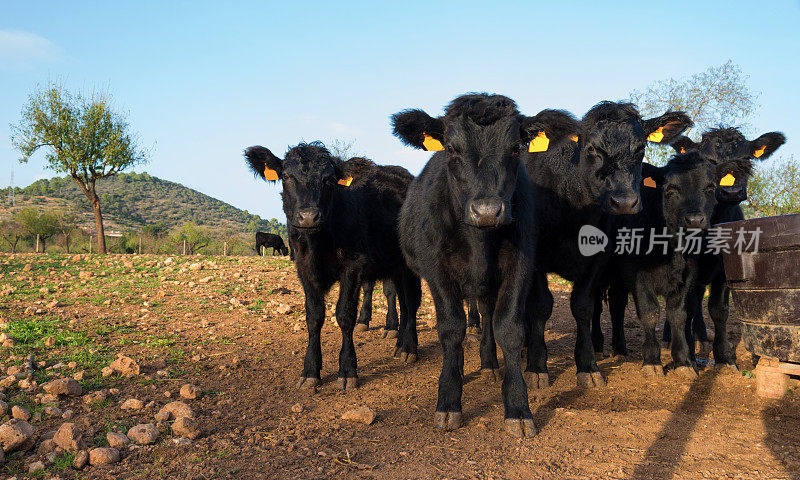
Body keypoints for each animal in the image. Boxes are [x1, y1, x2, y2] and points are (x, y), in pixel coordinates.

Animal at [244, 142, 422, 390]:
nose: (309, 216)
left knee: (412, 302)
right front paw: (310, 370)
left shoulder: (353, 267)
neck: (317, 244)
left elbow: (345, 315)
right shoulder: (304, 270)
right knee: (403, 301)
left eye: (329, 179)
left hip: (409, 261)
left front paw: (347, 370)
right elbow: (314, 316)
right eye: (286, 176)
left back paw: (409, 348)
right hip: (394, 265)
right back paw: (399, 344)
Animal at [390, 92, 572, 436]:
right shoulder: (437, 270)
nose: (487, 210)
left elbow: (509, 329)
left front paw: (518, 407)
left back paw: (488, 363)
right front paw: (448, 401)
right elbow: (451, 329)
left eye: (515, 147)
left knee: (487, 315)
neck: (479, 242)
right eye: (451, 148)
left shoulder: (520, 266)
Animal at [520, 103, 692, 388]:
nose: (624, 202)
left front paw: (588, 365)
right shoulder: (535, 258)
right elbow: (541, 306)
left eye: (641, 148)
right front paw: (536, 366)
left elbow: (583, 307)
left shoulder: (597, 259)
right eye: (591, 148)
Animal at [596, 152, 716, 376]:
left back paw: (620, 350)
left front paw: (683, 362)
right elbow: (650, 312)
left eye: (710, 188)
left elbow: (678, 315)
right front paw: (652, 360)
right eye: (670, 190)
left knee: (617, 306)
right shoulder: (638, 276)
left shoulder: (686, 277)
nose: (695, 219)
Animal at [656, 127, 788, 364]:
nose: (731, 192)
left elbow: (719, 310)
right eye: (709, 161)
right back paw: (669, 338)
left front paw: (724, 356)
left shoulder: (727, 270)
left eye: (747, 159)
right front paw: (689, 354)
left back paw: (702, 338)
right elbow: (685, 309)